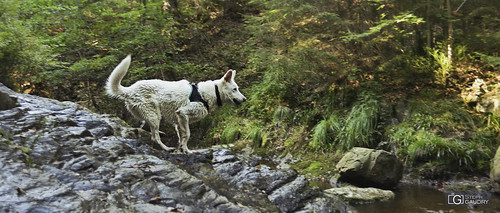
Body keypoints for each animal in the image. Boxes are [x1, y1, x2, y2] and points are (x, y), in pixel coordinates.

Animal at [105, 55, 246, 153]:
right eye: (235, 89)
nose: (245, 99)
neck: (210, 93)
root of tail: (129, 90)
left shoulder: (179, 121)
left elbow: (182, 137)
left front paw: (183, 149)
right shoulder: (183, 113)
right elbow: (188, 135)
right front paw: (186, 150)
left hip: (151, 115)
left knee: (151, 133)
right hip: (154, 115)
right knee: (155, 137)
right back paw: (167, 148)